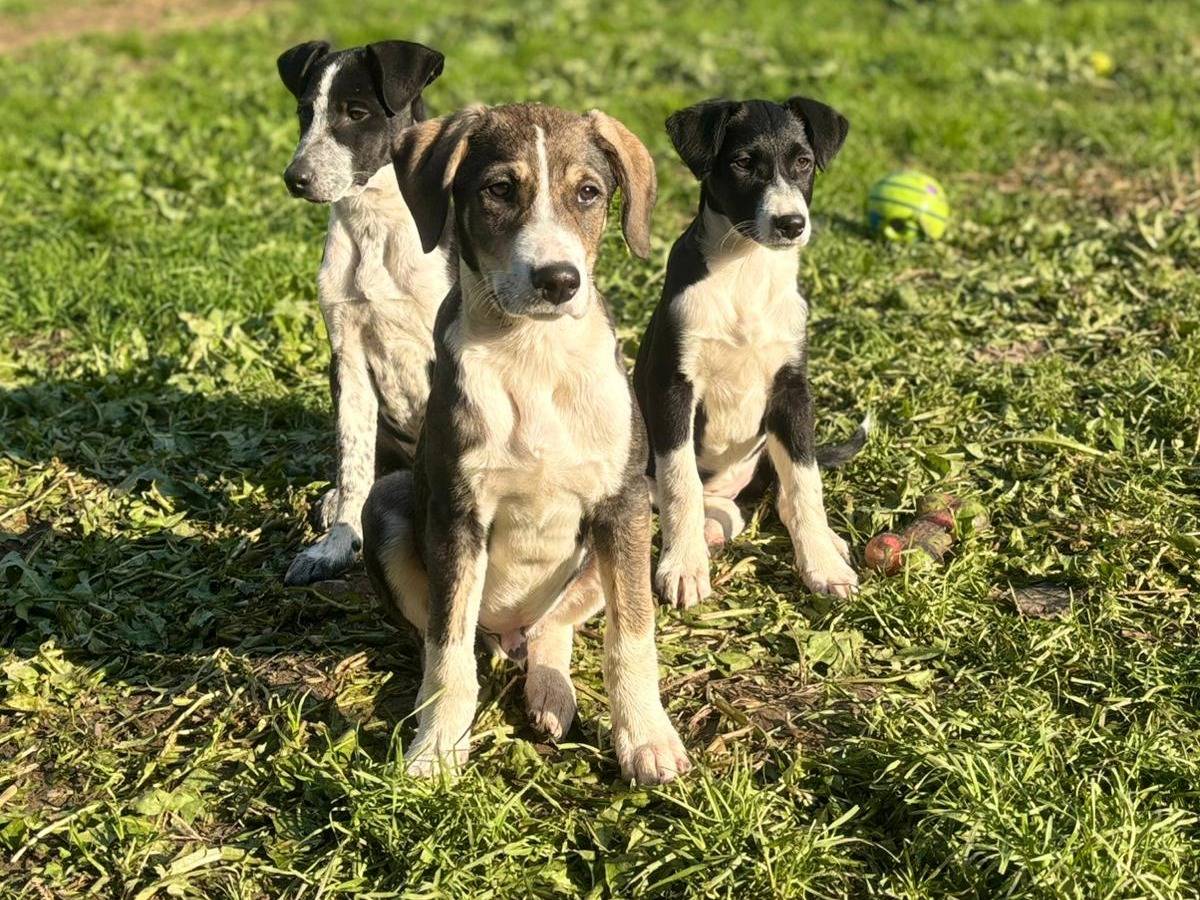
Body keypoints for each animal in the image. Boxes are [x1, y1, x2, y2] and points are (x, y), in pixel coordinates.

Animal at [276, 42, 453, 588]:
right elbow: (352, 462)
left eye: (356, 114)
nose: (295, 179)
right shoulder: (348, 358)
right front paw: (335, 546)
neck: (375, 225)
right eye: (304, 113)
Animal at [360, 102, 691, 787]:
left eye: (588, 193)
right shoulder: (457, 516)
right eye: (498, 190)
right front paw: (437, 748)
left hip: (607, 549)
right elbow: (447, 650)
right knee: (456, 638)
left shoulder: (622, 506)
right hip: (386, 503)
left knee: (551, 630)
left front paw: (647, 739)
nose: (559, 280)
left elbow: (632, 637)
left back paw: (550, 692)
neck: (533, 355)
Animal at [633, 95, 868, 609]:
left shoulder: (791, 391)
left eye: (803, 162)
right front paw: (684, 567)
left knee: (781, 486)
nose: (791, 224)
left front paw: (821, 564)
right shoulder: (670, 388)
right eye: (743, 163)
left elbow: (805, 483)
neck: (746, 270)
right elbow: (680, 481)